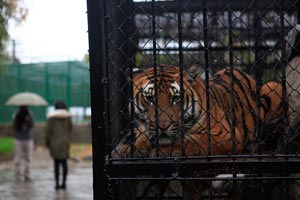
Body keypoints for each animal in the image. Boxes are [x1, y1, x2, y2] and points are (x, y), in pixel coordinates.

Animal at [111, 65, 284, 158]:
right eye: (150, 98)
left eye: (175, 98)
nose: (163, 126)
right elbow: (142, 136)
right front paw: (127, 150)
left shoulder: (225, 135)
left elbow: (190, 140)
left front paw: (164, 150)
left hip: (274, 86)